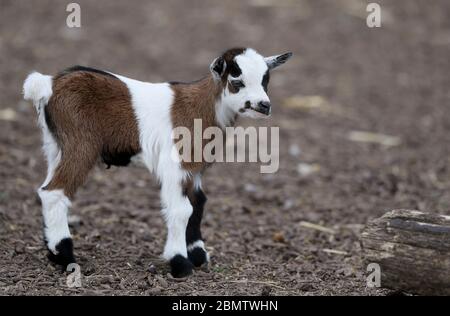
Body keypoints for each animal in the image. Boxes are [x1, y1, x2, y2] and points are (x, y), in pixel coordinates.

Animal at [22, 47, 294, 276]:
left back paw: (53, 253)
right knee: (55, 192)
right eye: (237, 81)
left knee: (45, 189)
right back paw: (67, 258)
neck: (202, 108)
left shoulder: (194, 167)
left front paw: (198, 255)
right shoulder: (175, 164)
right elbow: (181, 209)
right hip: (81, 144)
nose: (264, 105)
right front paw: (180, 264)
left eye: (266, 79)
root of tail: (48, 85)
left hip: (55, 146)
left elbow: (198, 204)